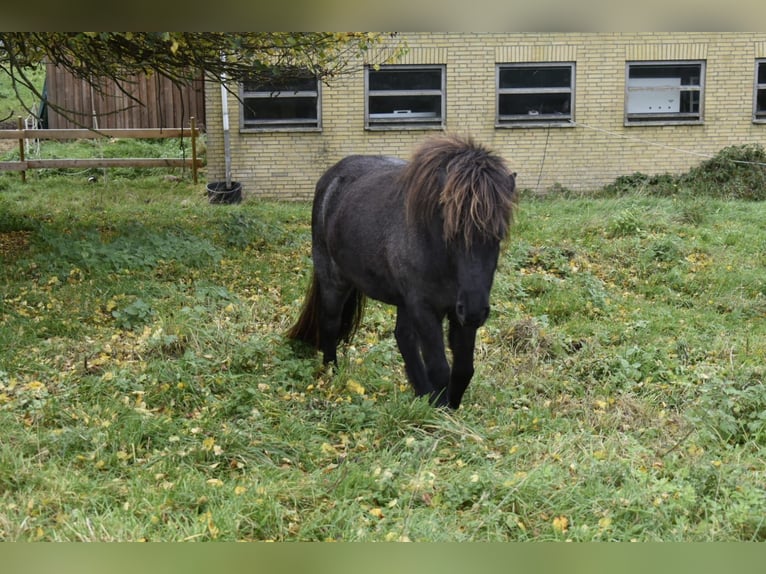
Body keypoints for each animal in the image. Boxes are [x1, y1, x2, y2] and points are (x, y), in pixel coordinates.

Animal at [292, 134, 520, 410]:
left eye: (498, 235)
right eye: (451, 233)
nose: (475, 310)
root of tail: (328, 180)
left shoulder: (460, 313)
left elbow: (464, 369)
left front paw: (448, 405)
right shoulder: (424, 307)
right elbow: (439, 368)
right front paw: (441, 409)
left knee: (404, 338)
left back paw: (421, 391)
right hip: (333, 281)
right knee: (330, 324)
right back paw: (332, 374)